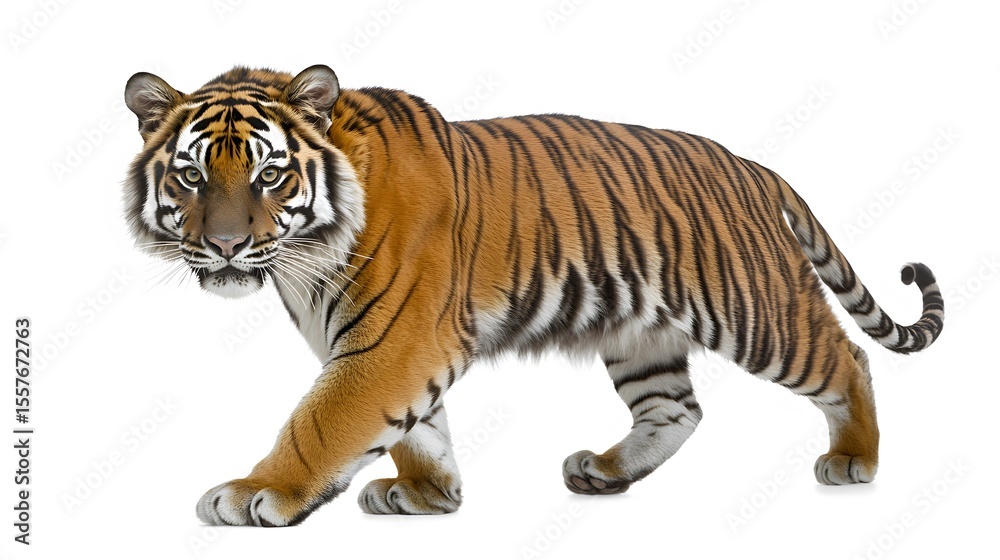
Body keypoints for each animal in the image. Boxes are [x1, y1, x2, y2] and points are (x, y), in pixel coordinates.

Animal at [122, 65, 944, 527]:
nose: (226, 246)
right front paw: (430, 495)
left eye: (269, 174)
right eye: (192, 176)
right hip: (640, 332)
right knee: (676, 408)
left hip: (756, 310)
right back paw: (607, 471)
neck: (305, 259)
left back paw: (854, 461)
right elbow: (416, 425)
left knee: (847, 361)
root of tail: (749, 164)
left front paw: (254, 493)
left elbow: (324, 423)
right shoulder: (389, 345)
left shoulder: (394, 341)